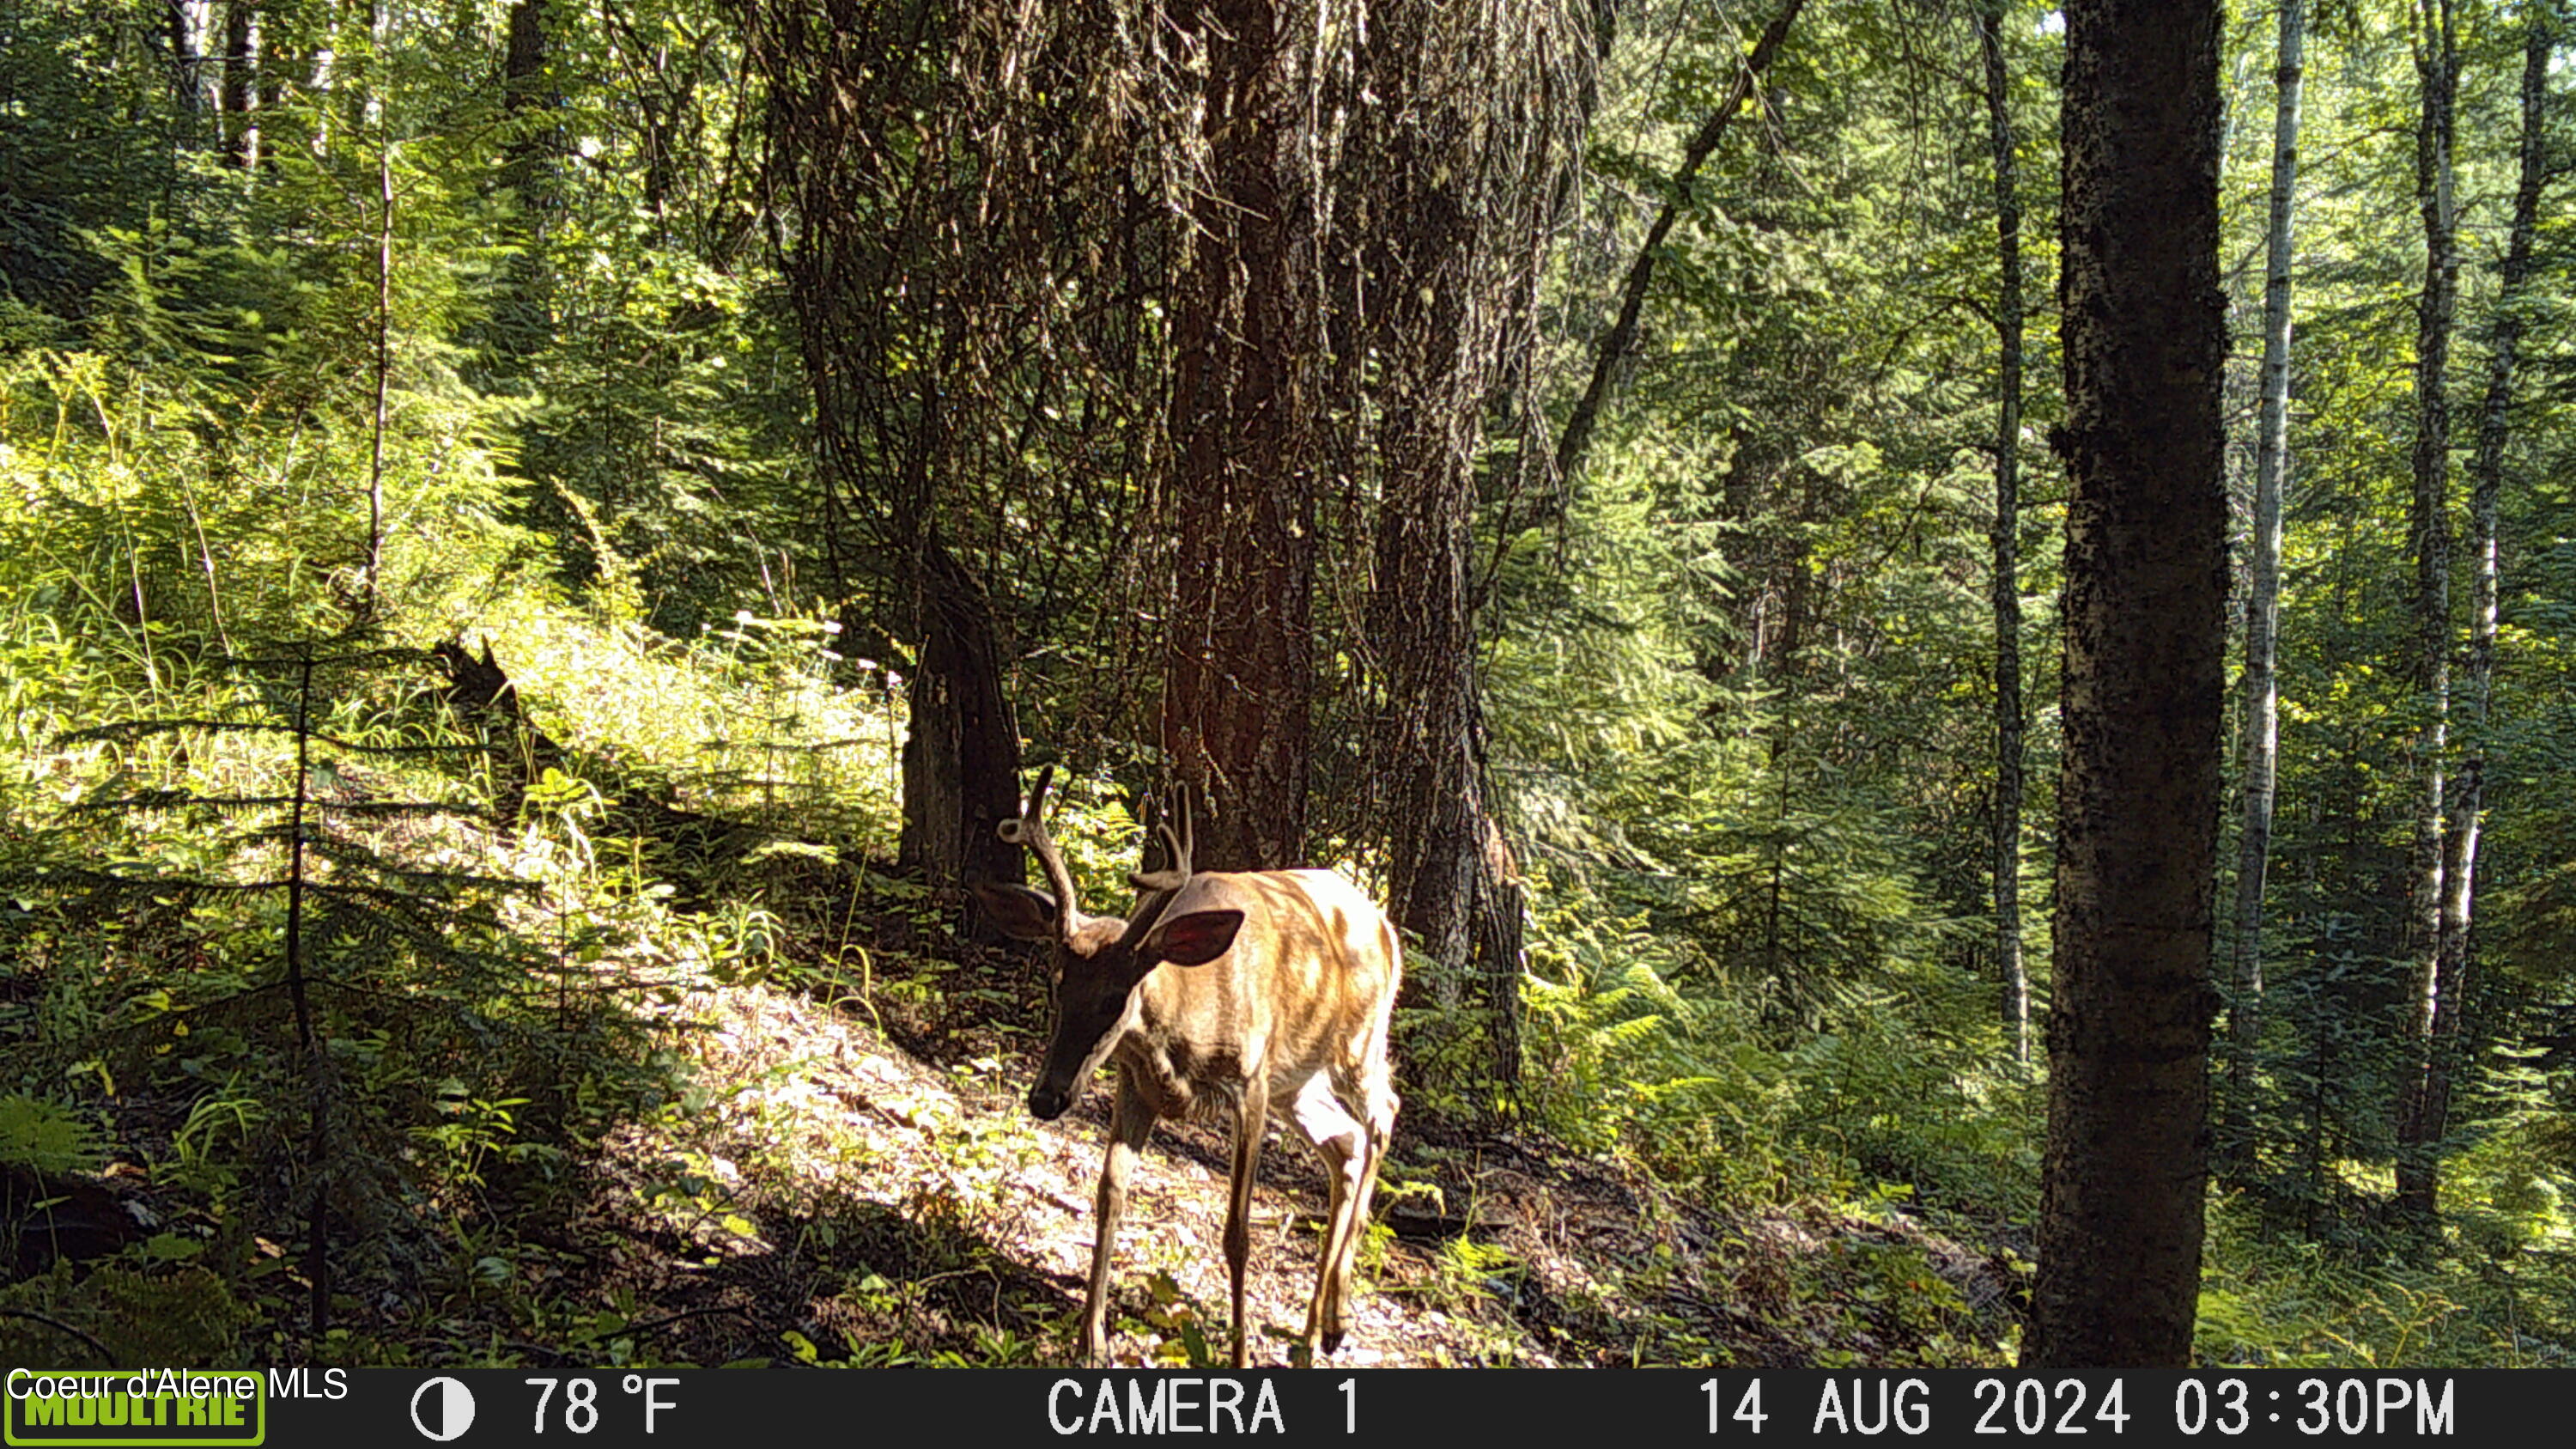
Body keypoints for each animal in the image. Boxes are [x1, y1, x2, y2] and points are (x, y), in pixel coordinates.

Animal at [969, 763, 1412, 1361]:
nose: (1046, 1098)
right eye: (1057, 983)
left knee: (1383, 1113)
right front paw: (1092, 1340)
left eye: (1115, 998)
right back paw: (1313, 1332)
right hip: (1297, 1084)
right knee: (1346, 1143)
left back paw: (1337, 1317)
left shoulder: (1250, 1081)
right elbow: (1110, 1194)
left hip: (1358, 1044)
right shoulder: (1135, 1083)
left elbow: (1237, 1232)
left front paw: (1241, 1354)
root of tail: (1385, 924)